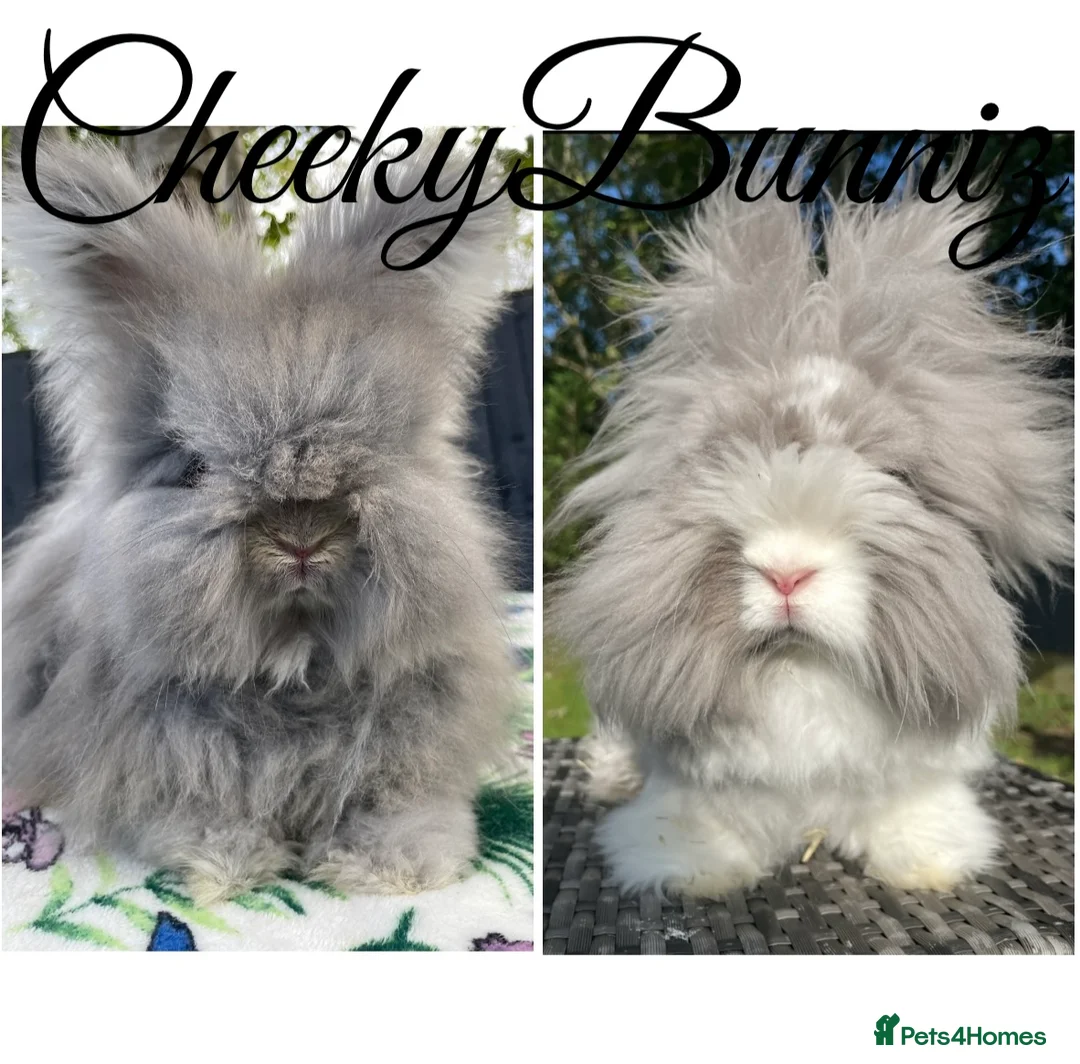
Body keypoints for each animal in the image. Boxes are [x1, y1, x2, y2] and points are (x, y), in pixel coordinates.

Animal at [2, 134, 518, 904]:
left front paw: (389, 871)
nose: (300, 539)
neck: (294, 667)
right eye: (193, 468)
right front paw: (223, 867)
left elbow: (403, 811)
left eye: (381, 448)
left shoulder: (409, 762)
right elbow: (199, 814)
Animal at [549, 179, 1073, 898]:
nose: (787, 573)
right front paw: (691, 868)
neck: (802, 672)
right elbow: (693, 821)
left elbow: (915, 812)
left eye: (895, 477)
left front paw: (929, 864)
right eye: (724, 460)